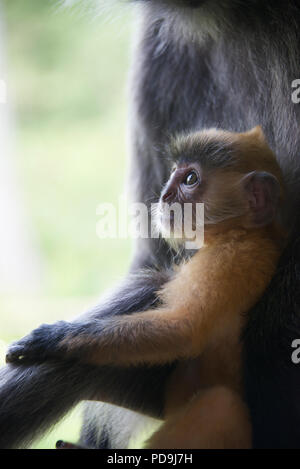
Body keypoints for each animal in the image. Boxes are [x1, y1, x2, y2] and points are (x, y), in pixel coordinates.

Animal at [5, 126, 284, 448]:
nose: (164, 195)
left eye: (190, 179)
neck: (240, 232)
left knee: (220, 405)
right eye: (174, 172)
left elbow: (182, 330)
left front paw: (53, 337)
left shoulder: (233, 258)